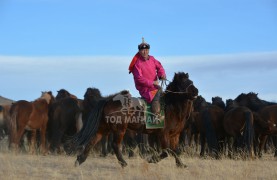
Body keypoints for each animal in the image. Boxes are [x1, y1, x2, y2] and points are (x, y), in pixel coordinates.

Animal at [64, 72, 198, 168]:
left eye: (191, 81)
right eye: (183, 83)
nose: (196, 91)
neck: (171, 107)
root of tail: (108, 100)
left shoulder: (174, 135)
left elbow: (175, 151)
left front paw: (181, 165)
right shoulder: (163, 134)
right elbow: (167, 151)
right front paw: (151, 159)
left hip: (104, 128)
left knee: (92, 141)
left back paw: (79, 160)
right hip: (120, 129)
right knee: (115, 145)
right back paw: (123, 163)